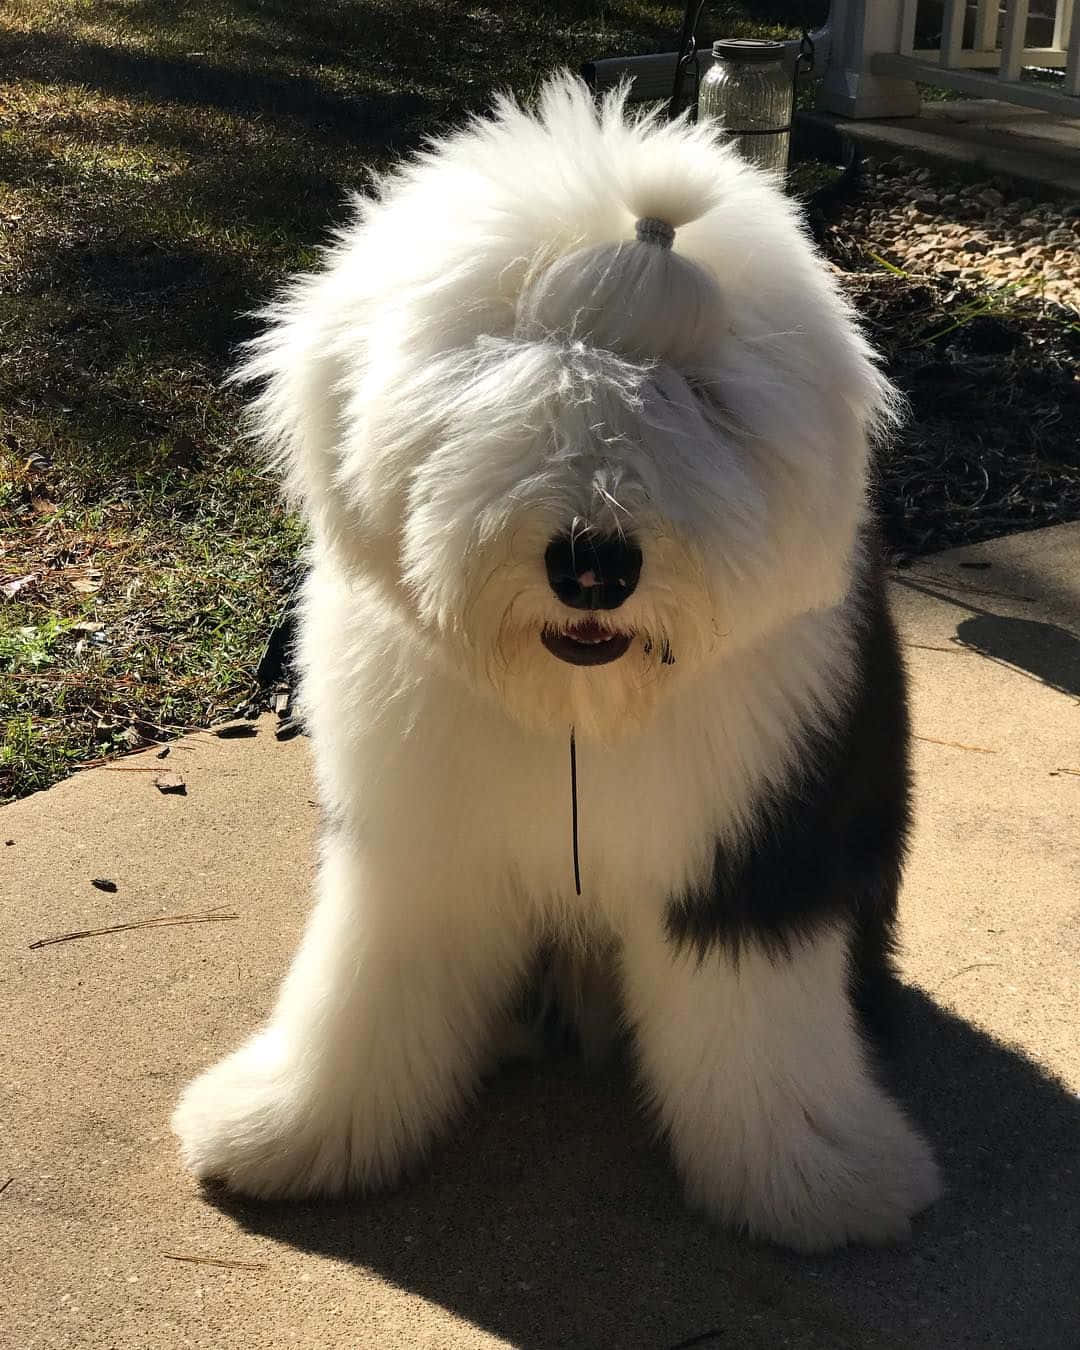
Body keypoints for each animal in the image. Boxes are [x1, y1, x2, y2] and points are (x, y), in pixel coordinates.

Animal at [172, 73, 939, 1252]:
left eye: (696, 393)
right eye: (498, 367)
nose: (594, 564)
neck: (578, 709)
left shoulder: (755, 847)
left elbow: (760, 1026)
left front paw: (816, 1180)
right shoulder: (417, 846)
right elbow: (367, 986)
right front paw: (294, 1133)